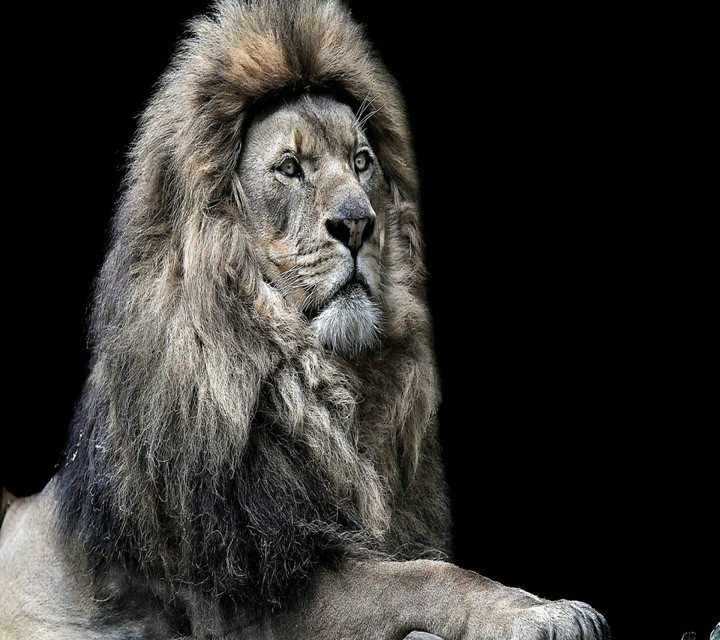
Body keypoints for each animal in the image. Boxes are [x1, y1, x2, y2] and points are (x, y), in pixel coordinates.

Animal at [0, 1, 610, 639]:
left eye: (362, 163)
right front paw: (539, 612)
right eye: (290, 168)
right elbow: (425, 576)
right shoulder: (253, 593)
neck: (315, 382)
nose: (358, 223)